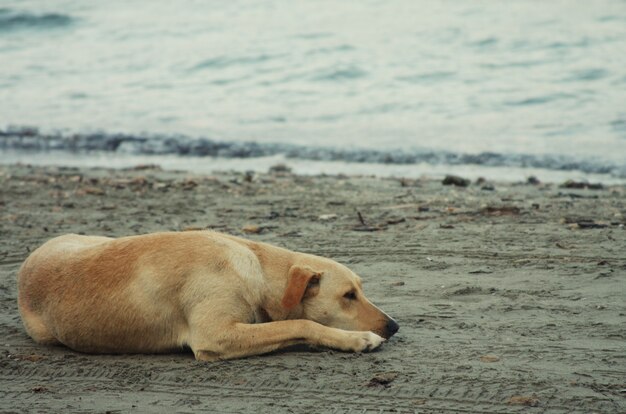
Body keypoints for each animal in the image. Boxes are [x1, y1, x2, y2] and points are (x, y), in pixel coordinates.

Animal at [18, 231, 400, 360]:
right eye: (348, 295)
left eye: (360, 289)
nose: (394, 325)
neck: (256, 271)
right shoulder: (216, 335)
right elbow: (302, 324)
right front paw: (357, 339)